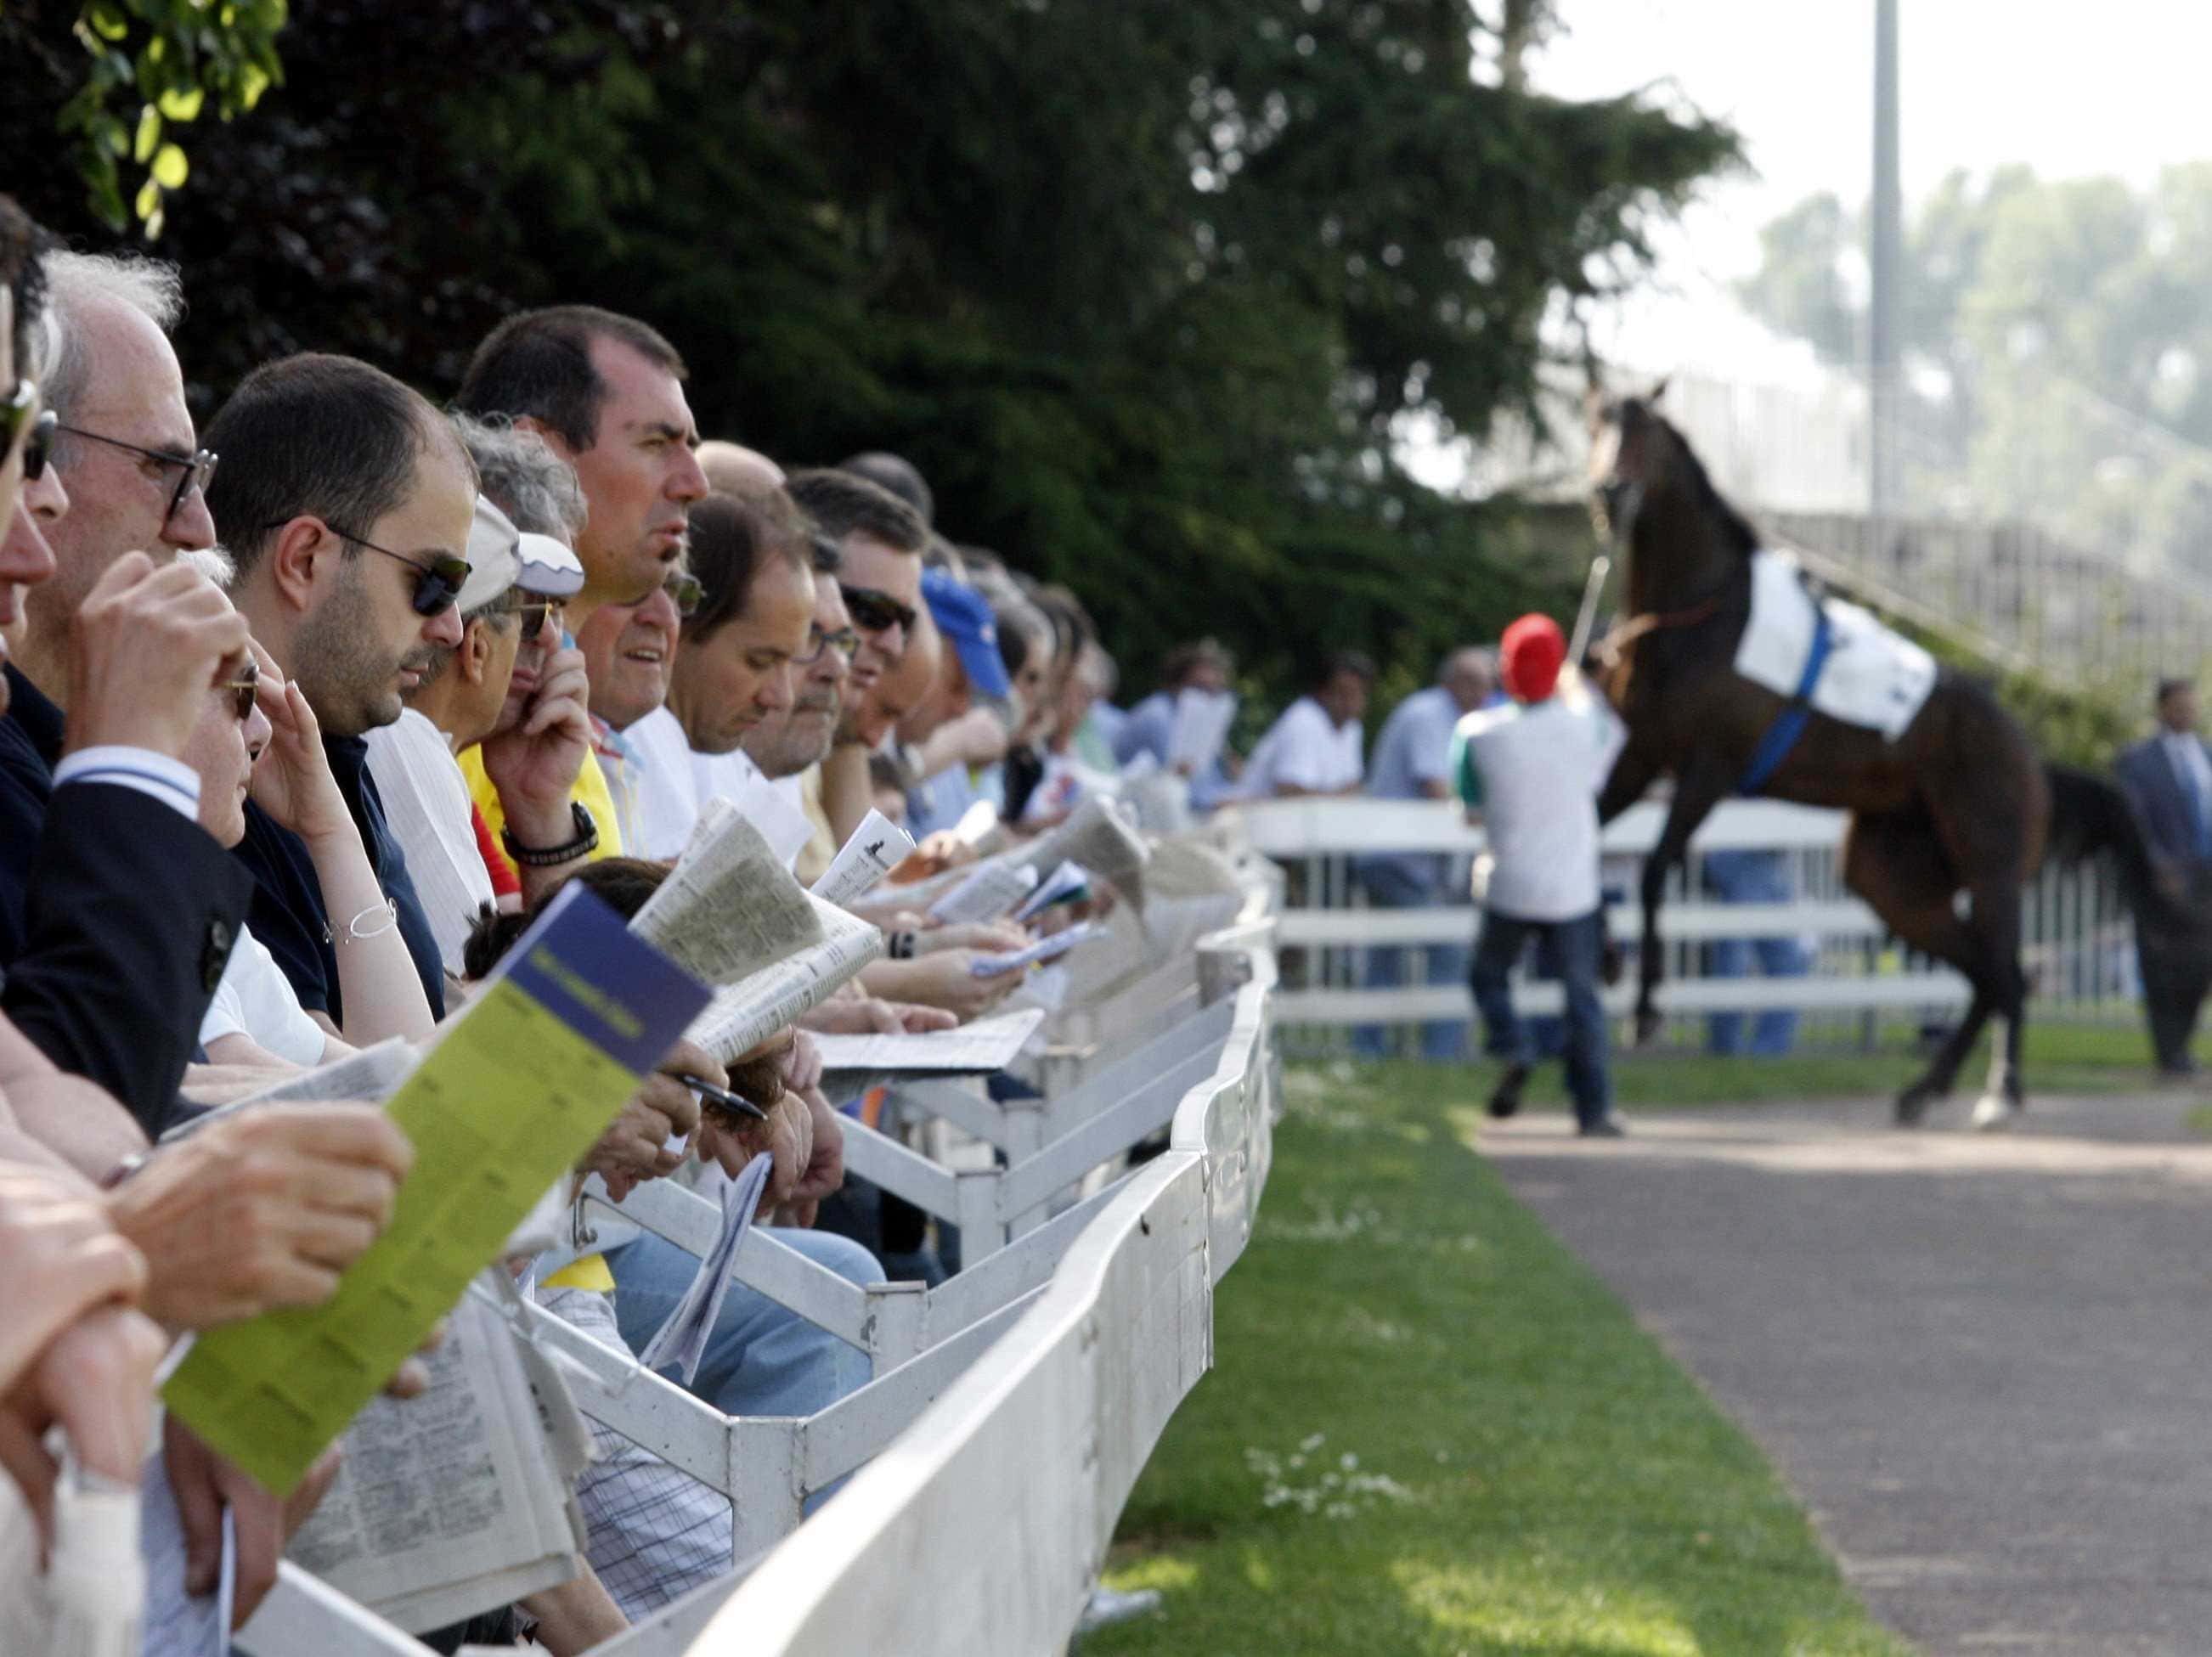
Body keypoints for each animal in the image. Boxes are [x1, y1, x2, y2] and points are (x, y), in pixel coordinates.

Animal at [1583, 387, 2165, 1128]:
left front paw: (1647, 1009)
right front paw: (1604, 958)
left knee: (2008, 973)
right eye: (1597, 425)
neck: (1701, 615)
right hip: (1890, 877)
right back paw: (1924, 1088)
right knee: (1981, 973)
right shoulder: (1639, 755)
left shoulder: (1708, 768)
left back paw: (2000, 1090)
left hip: (1991, 867)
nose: (1611, 492)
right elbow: (1585, 841)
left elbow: (1656, 869)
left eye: (1646, 436)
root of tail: (2034, 759)